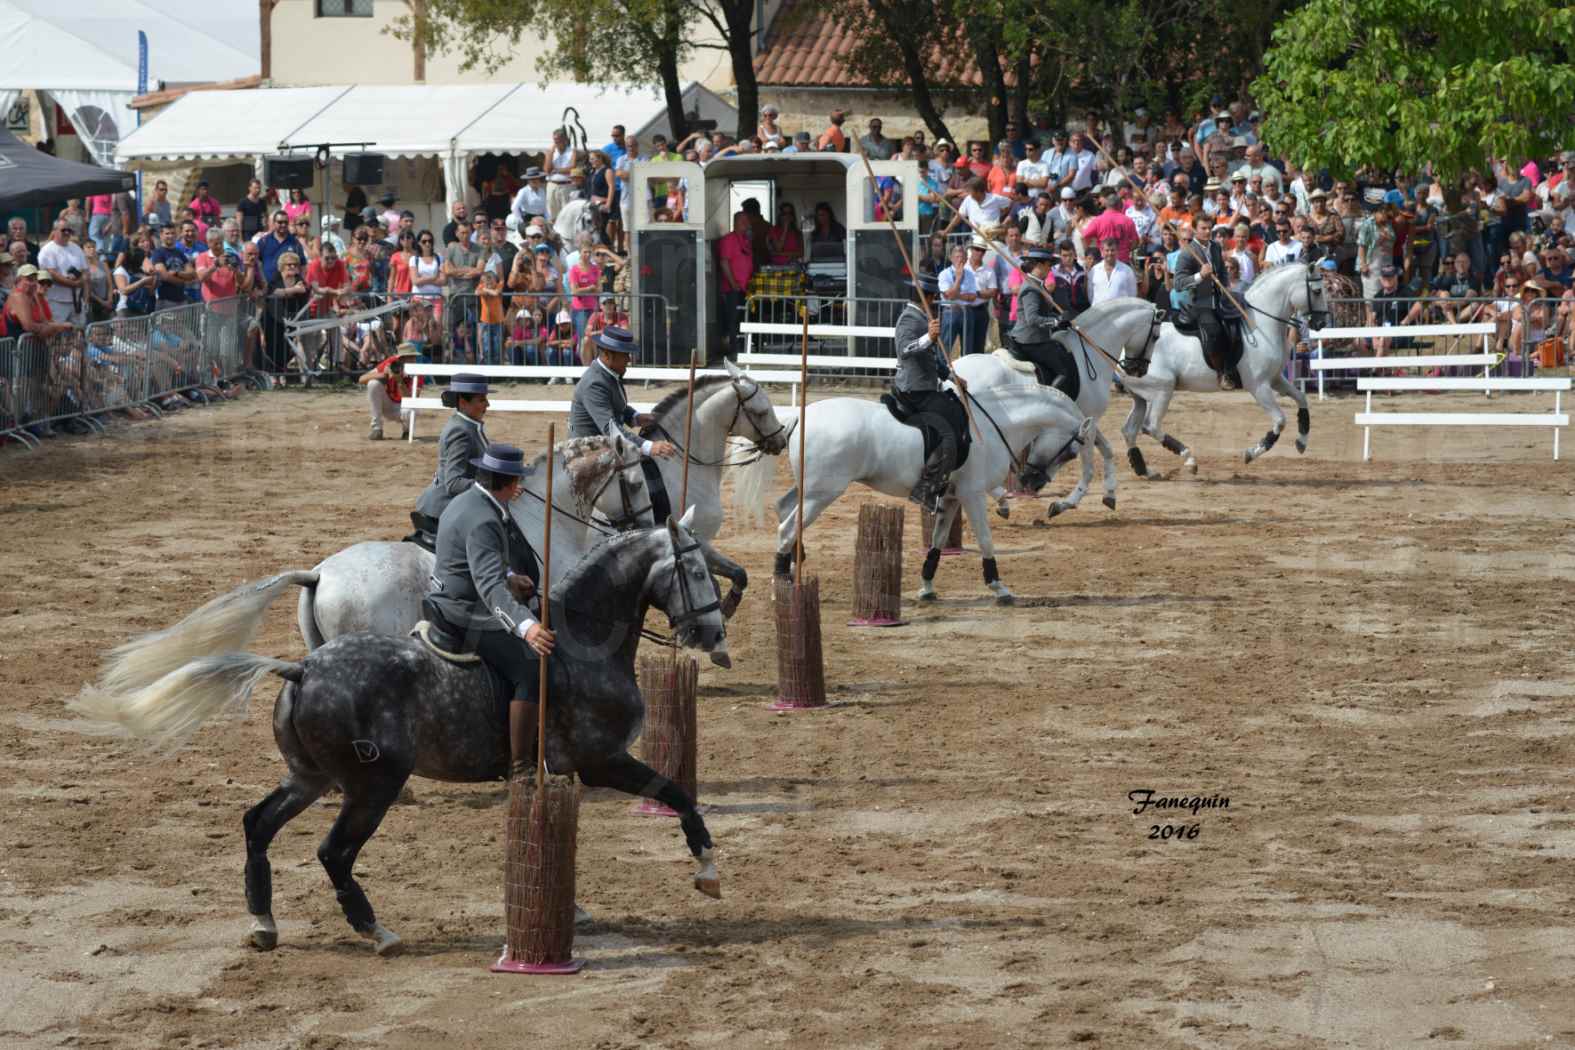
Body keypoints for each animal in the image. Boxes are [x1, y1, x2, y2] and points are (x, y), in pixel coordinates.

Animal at [76, 516, 727, 963]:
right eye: (695, 570)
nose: (713, 634)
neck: (576, 644)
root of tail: (302, 668)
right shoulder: (602, 761)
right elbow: (678, 795)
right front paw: (708, 870)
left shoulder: (563, 772)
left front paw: (574, 906)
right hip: (373, 786)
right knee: (333, 853)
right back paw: (376, 931)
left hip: (311, 778)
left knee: (258, 825)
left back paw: (264, 924)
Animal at [730, 382, 1089, 604]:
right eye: (1072, 452)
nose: (1031, 481)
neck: (991, 425)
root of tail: (800, 415)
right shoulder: (972, 495)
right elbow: (986, 541)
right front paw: (999, 587)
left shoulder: (951, 497)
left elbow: (938, 543)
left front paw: (927, 587)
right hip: (822, 493)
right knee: (787, 527)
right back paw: (781, 583)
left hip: (812, 489)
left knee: (784, 508)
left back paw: (794, 566)